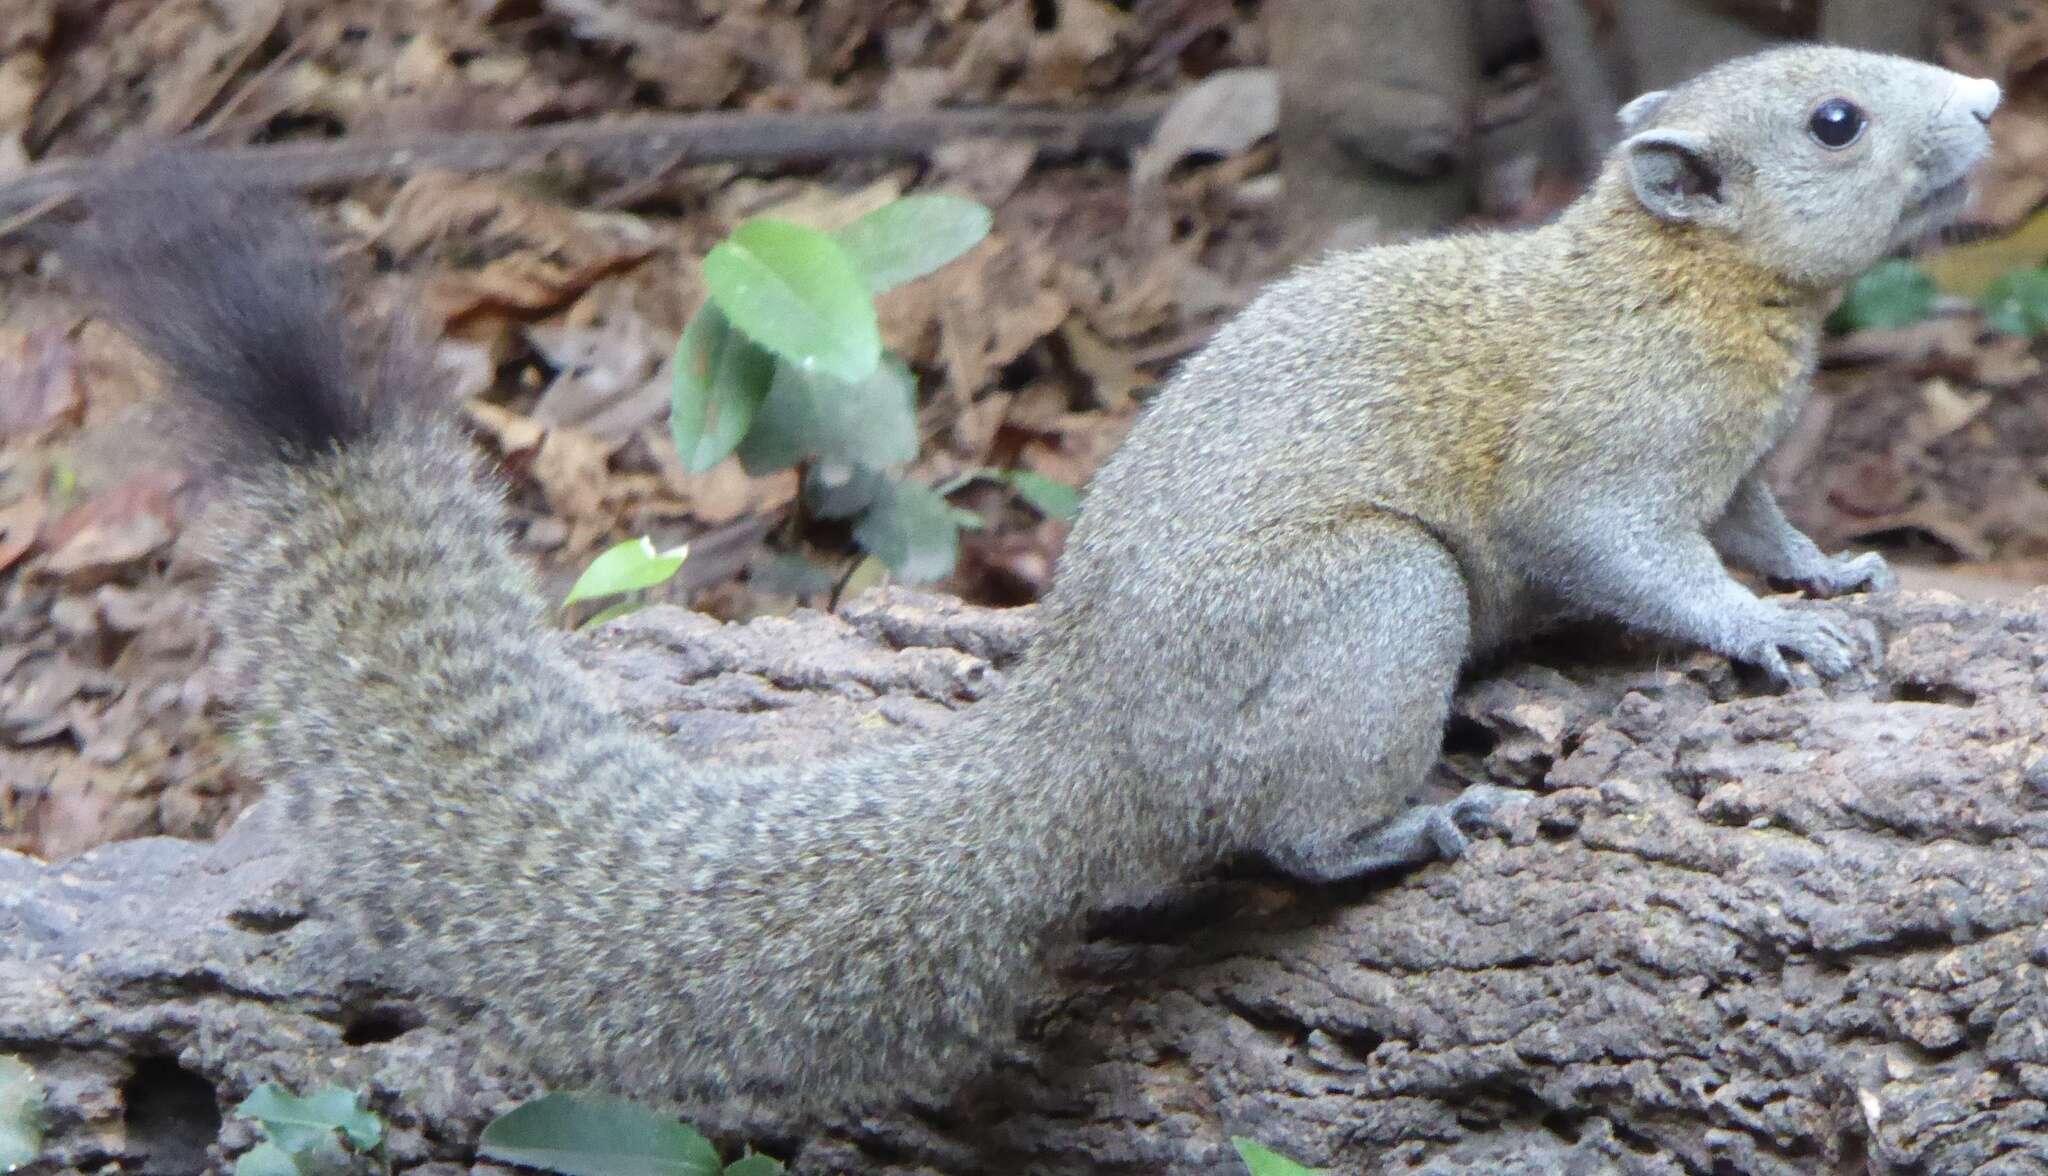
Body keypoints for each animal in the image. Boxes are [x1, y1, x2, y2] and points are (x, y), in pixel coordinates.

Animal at [64, 46, 1998, 1130]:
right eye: (1834, 117)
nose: (1986, 99)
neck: (1689, 285)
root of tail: (1077, 759)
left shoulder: (1732, 460)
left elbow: (1759, 518)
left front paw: (1827, 566)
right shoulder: (1604, 452)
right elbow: (1629, 550)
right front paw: (1768, 633)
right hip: (1371, 605)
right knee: (1284, 830)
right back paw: (1397, 826)